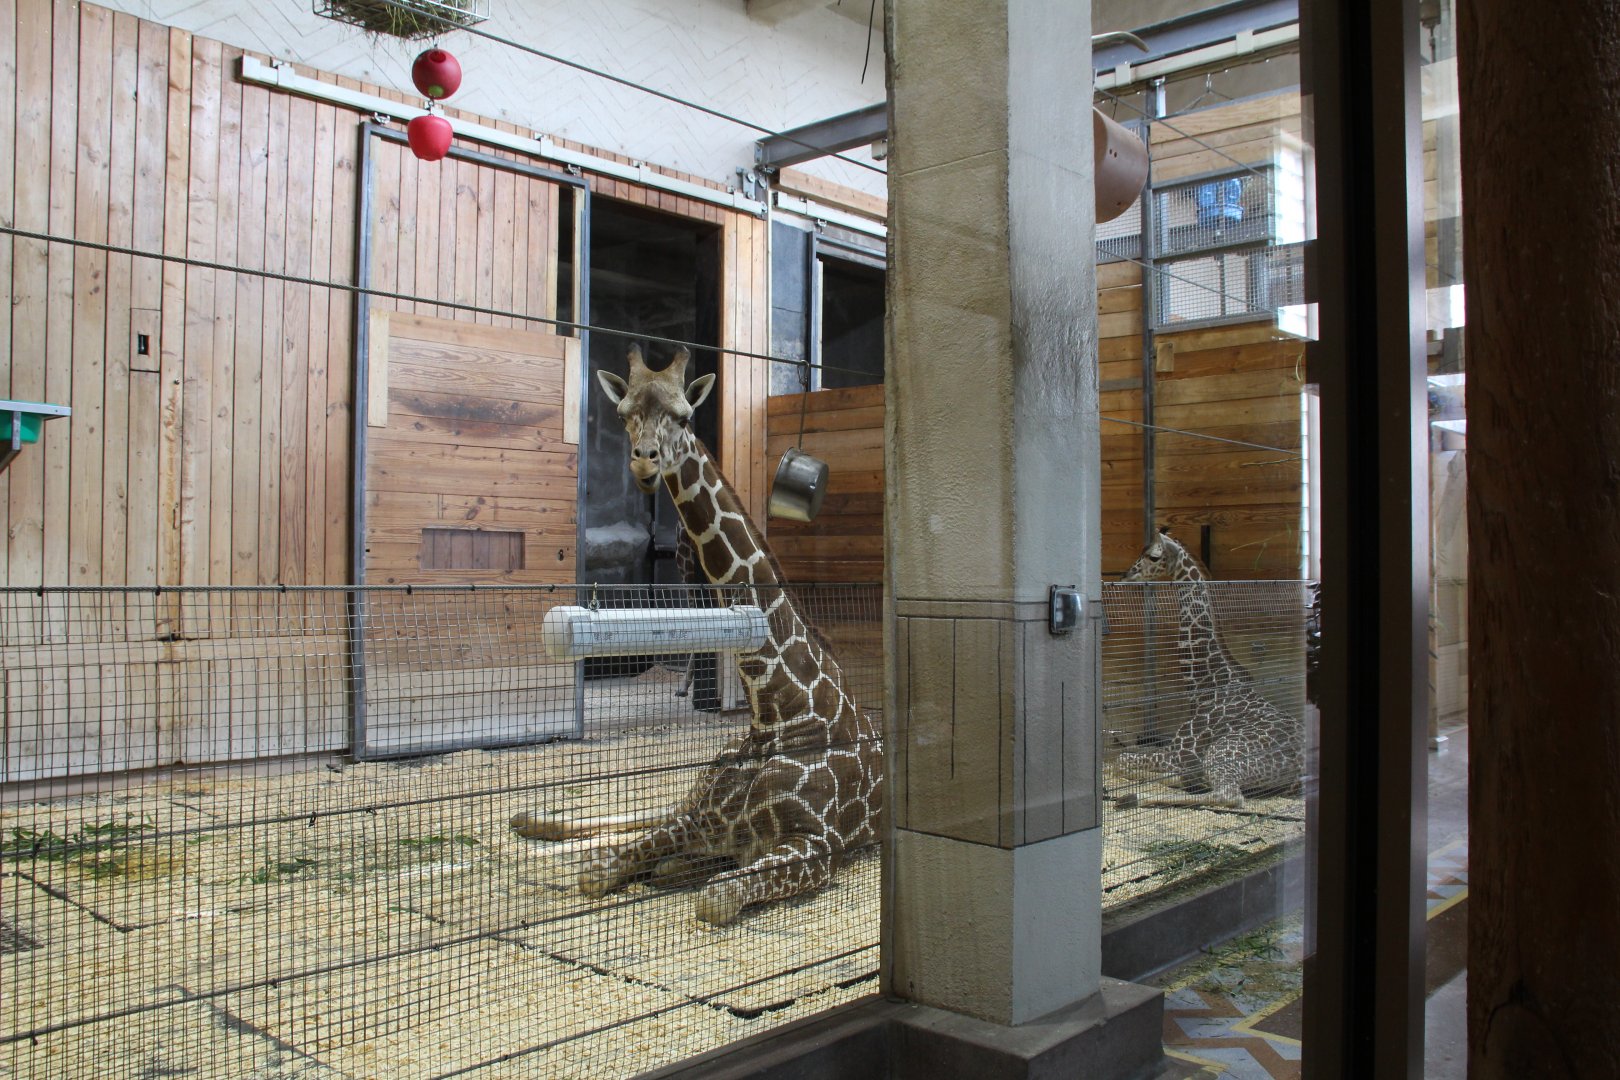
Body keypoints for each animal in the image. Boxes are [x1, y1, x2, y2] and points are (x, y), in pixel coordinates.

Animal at [510, 345, 883, 925]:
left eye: (684, 416)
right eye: (624, 413)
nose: (644, 461)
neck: (777, 711)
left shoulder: (817, 845)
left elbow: (713, 896)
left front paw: (677, 870)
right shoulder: (703, 818)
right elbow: (603, 868)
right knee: (646, 812)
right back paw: (533, 817)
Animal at [1112, 527, 1304, 809]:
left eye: (1153, 556)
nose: (1126, 576)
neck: (1203, 685)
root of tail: (1300, 770)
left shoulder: (1178, 752)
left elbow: (1121, 761)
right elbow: (1125, 756)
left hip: (1220, 752)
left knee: (1228, 795)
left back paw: (1133, 797)